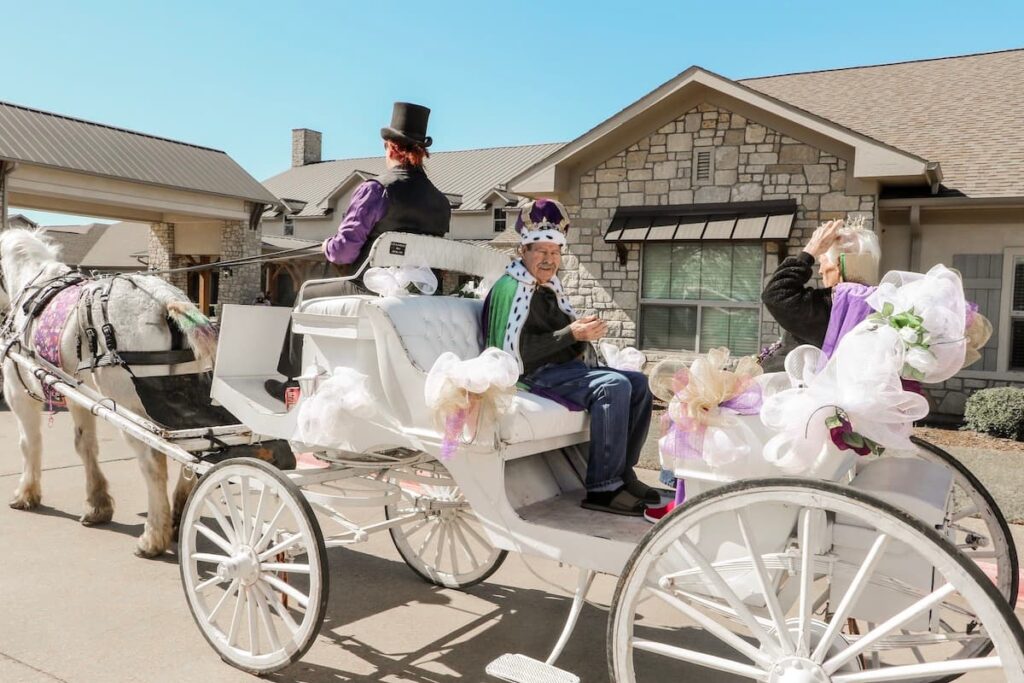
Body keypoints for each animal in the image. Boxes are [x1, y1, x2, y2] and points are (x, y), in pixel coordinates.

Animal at [1, 227, 218, 557]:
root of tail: (164, 297)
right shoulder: (77, 397)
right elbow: (85, 445)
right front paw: (97, 505)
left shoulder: (19, 393)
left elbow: (29, 444)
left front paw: (26, 493)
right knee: (190, 451)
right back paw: (179, 515)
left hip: (132, 408)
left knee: (154, 462)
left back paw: (153, 536)